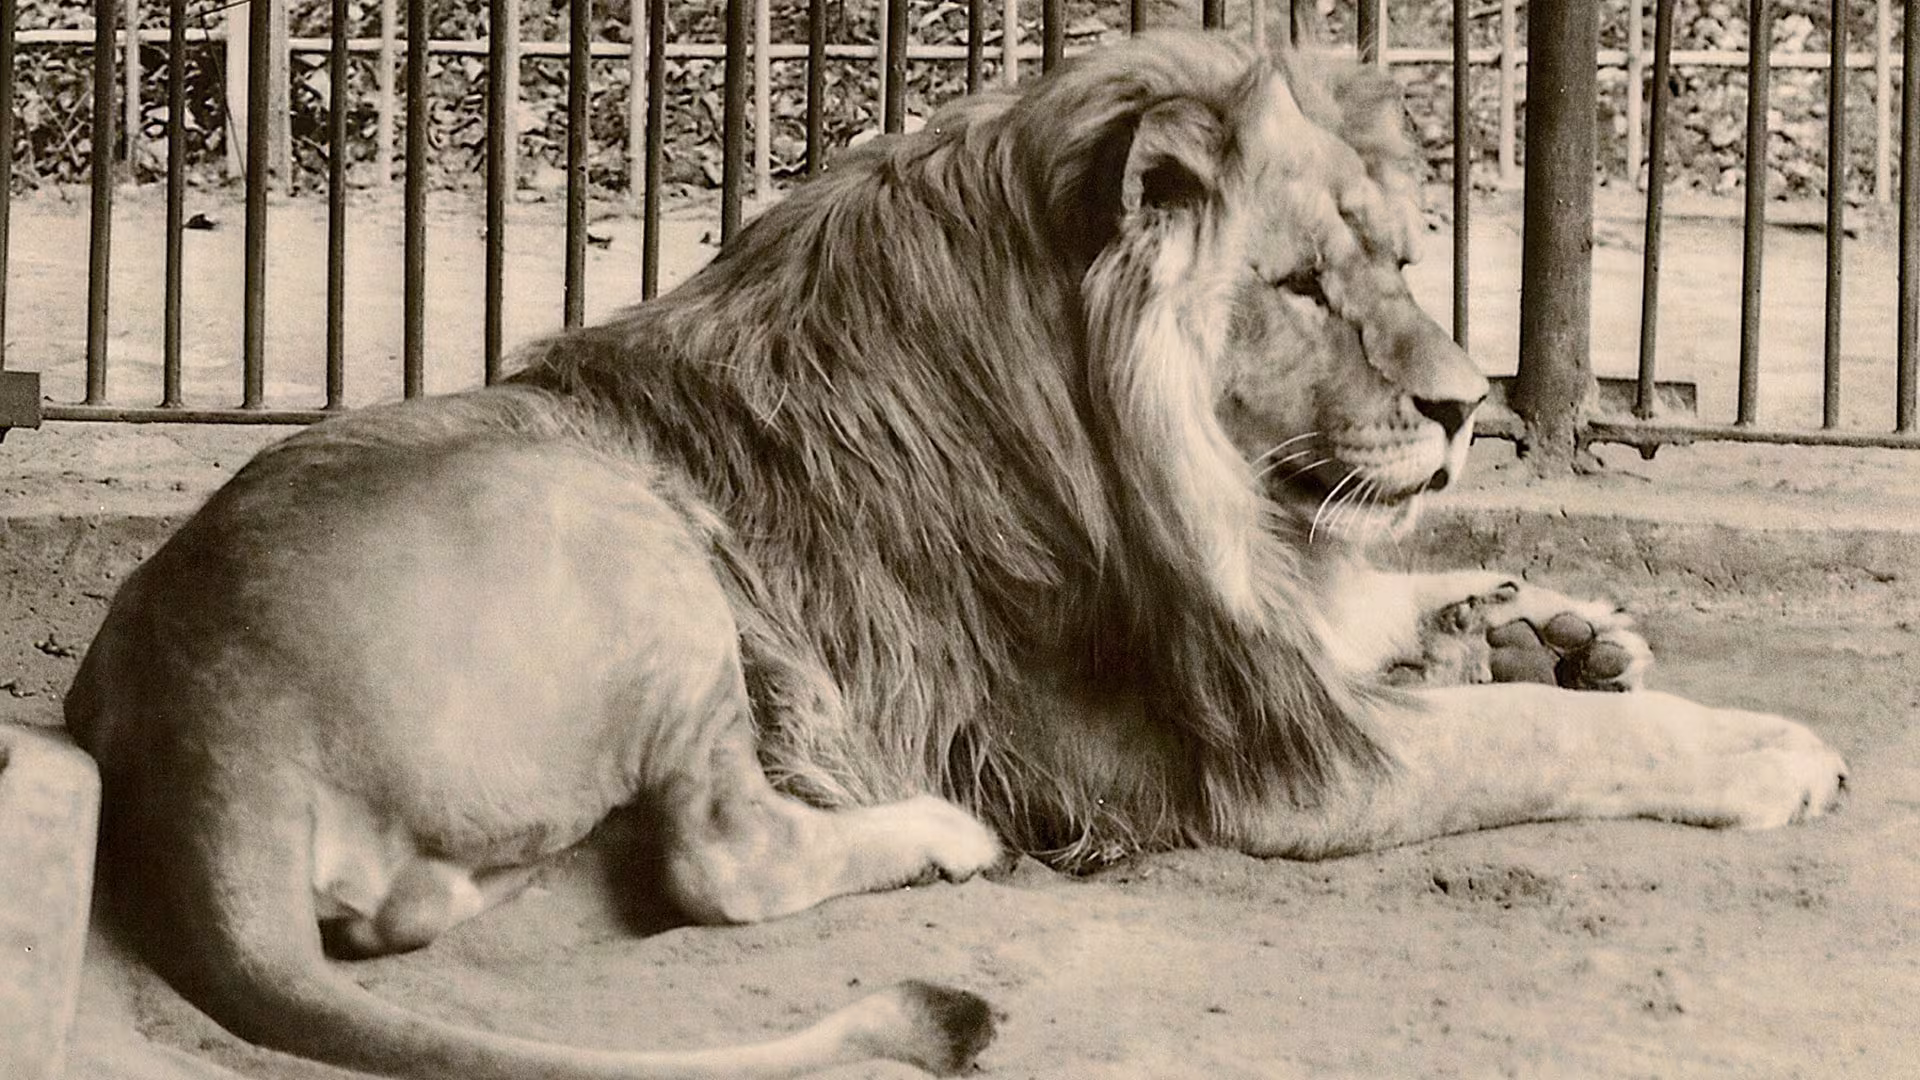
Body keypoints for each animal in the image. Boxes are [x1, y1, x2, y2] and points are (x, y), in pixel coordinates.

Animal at [65, 30, 1846, 1080]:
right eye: (1299, 288)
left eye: (1401, 261)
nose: (1473, 407)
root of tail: (201, 720)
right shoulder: (1259, 773)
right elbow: (1542, 736)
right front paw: (1762, 746)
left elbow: (1388, 611)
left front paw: (1551, 620)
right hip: (646, 546)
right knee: (721, 857)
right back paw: (940, 839)